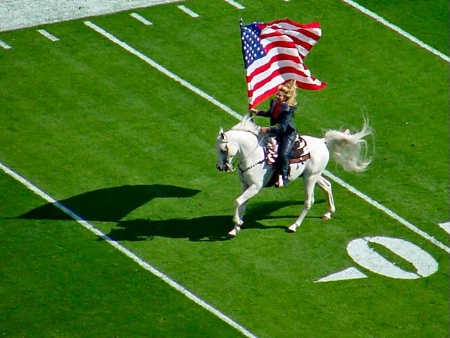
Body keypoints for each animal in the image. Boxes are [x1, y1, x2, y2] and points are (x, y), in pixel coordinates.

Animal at [214, 115, 372, 238]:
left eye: (223, 149)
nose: (220, 167)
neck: (255, 155)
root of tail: (322, 141)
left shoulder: (255, 187)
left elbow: (237, 202)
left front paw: (237, 222)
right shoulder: (245, 185)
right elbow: (241, 204)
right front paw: (235, 228)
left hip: (310, 179)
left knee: (309, 201)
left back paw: (293, 226)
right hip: (313, 175)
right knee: (327, 185)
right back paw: (328, 213)